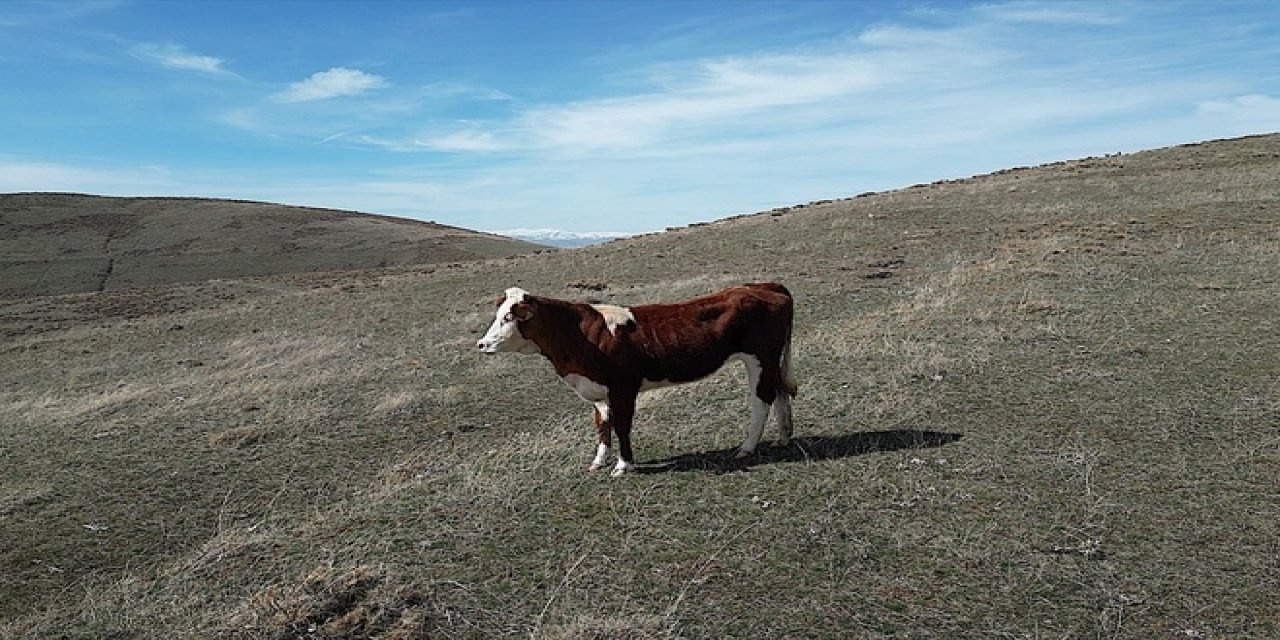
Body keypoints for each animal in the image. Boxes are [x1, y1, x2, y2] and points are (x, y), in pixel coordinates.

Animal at [476, 284, 793, 476]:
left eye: (508, 318)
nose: (481, 344)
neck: (579, 335)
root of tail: (764, 286)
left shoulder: (623, 387)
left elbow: (622, 426)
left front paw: (623, 465)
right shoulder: (598, 391)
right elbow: (602, 425)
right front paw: (598, 461)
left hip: (759, 358)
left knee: (761, 399)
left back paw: (746, 447)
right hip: (771, 361)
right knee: (779, 392)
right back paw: (784, 436)